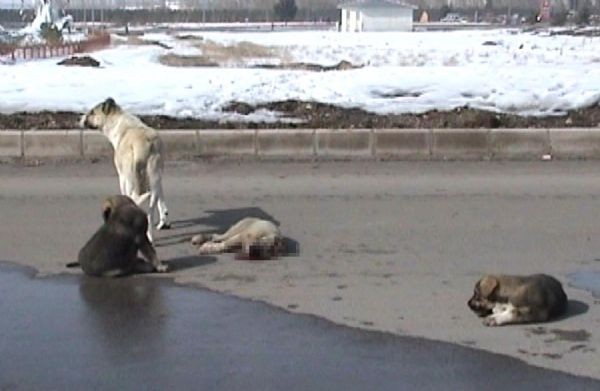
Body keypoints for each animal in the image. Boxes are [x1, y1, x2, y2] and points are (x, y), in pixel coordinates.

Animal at [79, 99, 171, 239]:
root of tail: (142, 144)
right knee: (150, 210)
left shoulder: (121, 177)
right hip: (154, 177)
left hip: (129, 180)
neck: (116, 118)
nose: (79, 118)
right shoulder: (158, 180)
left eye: (92, 112)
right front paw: (164, 221)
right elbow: (162, 201)